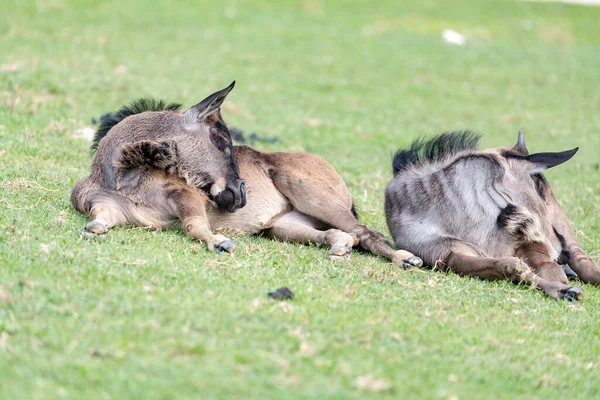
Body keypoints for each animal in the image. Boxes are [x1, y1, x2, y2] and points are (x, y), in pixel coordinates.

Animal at [69, 83, 422, 268]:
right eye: (222, 140)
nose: (240, 194)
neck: (123, 177)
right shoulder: (108, 206)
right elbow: (100, 220)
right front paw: (94, 229)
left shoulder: (186, 197)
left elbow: (195, 226)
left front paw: (221, 243)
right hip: (283, 225)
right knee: (339, 234)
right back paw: (339, 248)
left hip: (314, 197)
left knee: (366, 232)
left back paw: (406, 259)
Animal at [386, 131, 596, 300]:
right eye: (538, 184)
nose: (561, 250)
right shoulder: (447, 254)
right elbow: (510, 265)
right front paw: (561, 289)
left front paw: (563, 286)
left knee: (584, 261)